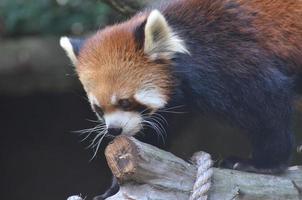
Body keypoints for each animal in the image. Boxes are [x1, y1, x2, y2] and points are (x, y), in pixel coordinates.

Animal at [60, 0, 302, 198]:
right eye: (98, 109)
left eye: (125, 102)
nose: (114, 130)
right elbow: (151, 135)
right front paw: (114, 188)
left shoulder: (229, 56)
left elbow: (266, 103)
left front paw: (264, 163)